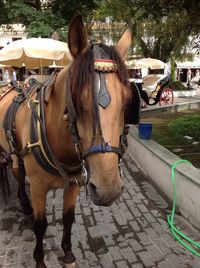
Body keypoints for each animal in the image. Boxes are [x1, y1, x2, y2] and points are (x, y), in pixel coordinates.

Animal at [0, 15, 136, 268]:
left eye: (128, 100)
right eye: (77, 100)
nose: (108, 189)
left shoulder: (73, 185)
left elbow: (68, 218)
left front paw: (68, 254)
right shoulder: (38, 187)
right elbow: (40, 225)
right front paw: (40, 260)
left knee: (17, 170)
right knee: (18, 172)